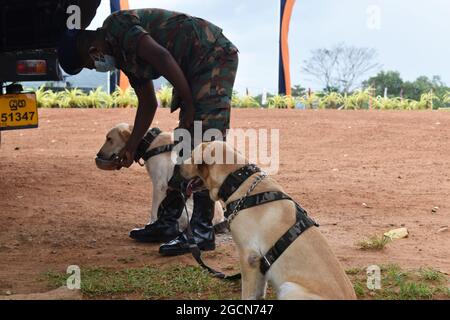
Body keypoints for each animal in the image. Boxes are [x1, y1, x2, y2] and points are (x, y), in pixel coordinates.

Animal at [179, 141, 356, 298]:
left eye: (191, 155)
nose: (177, 167)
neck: (239, 181)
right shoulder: (259, 264)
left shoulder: (249, 257)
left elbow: (248, 294)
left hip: (289, 288)